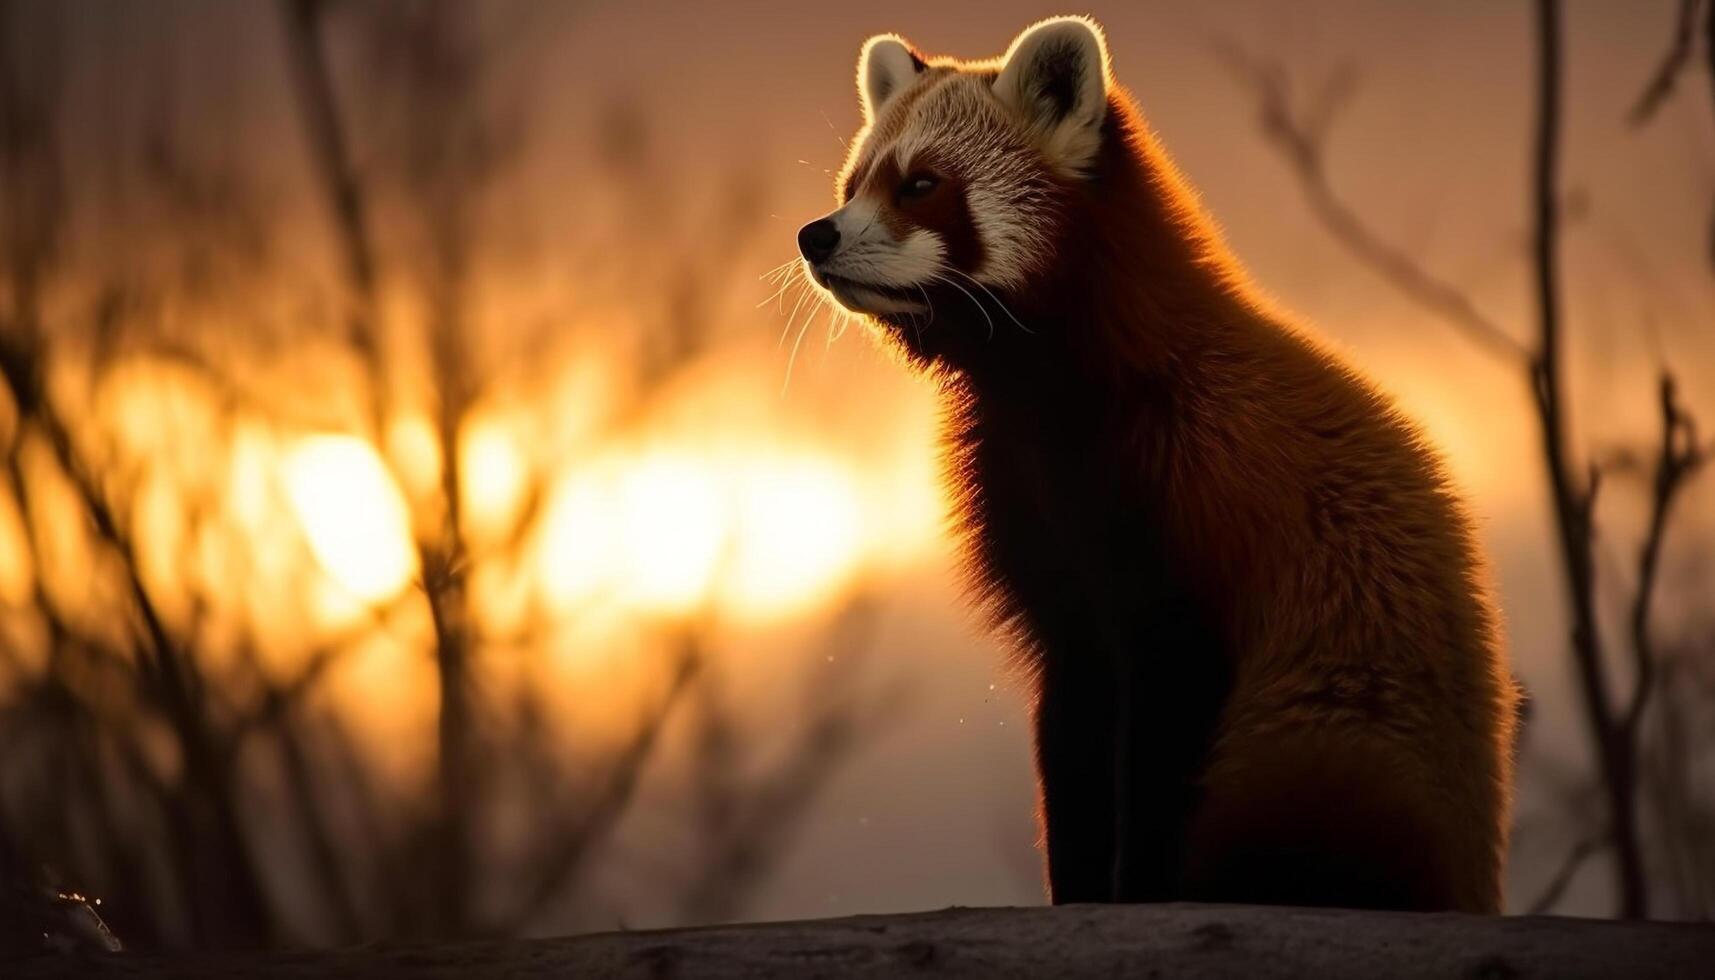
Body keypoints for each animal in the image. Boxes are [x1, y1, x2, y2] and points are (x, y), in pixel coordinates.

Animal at [795, 15, 1522, 919]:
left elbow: (1165, 728)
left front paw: (1140, 890)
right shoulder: (1048, 560)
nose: (816, 235)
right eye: (853, 183)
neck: (1055, 397)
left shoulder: (1193, 527)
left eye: (920, 184)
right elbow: (1075, 733)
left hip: (1329, 750)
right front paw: (1078, 893)